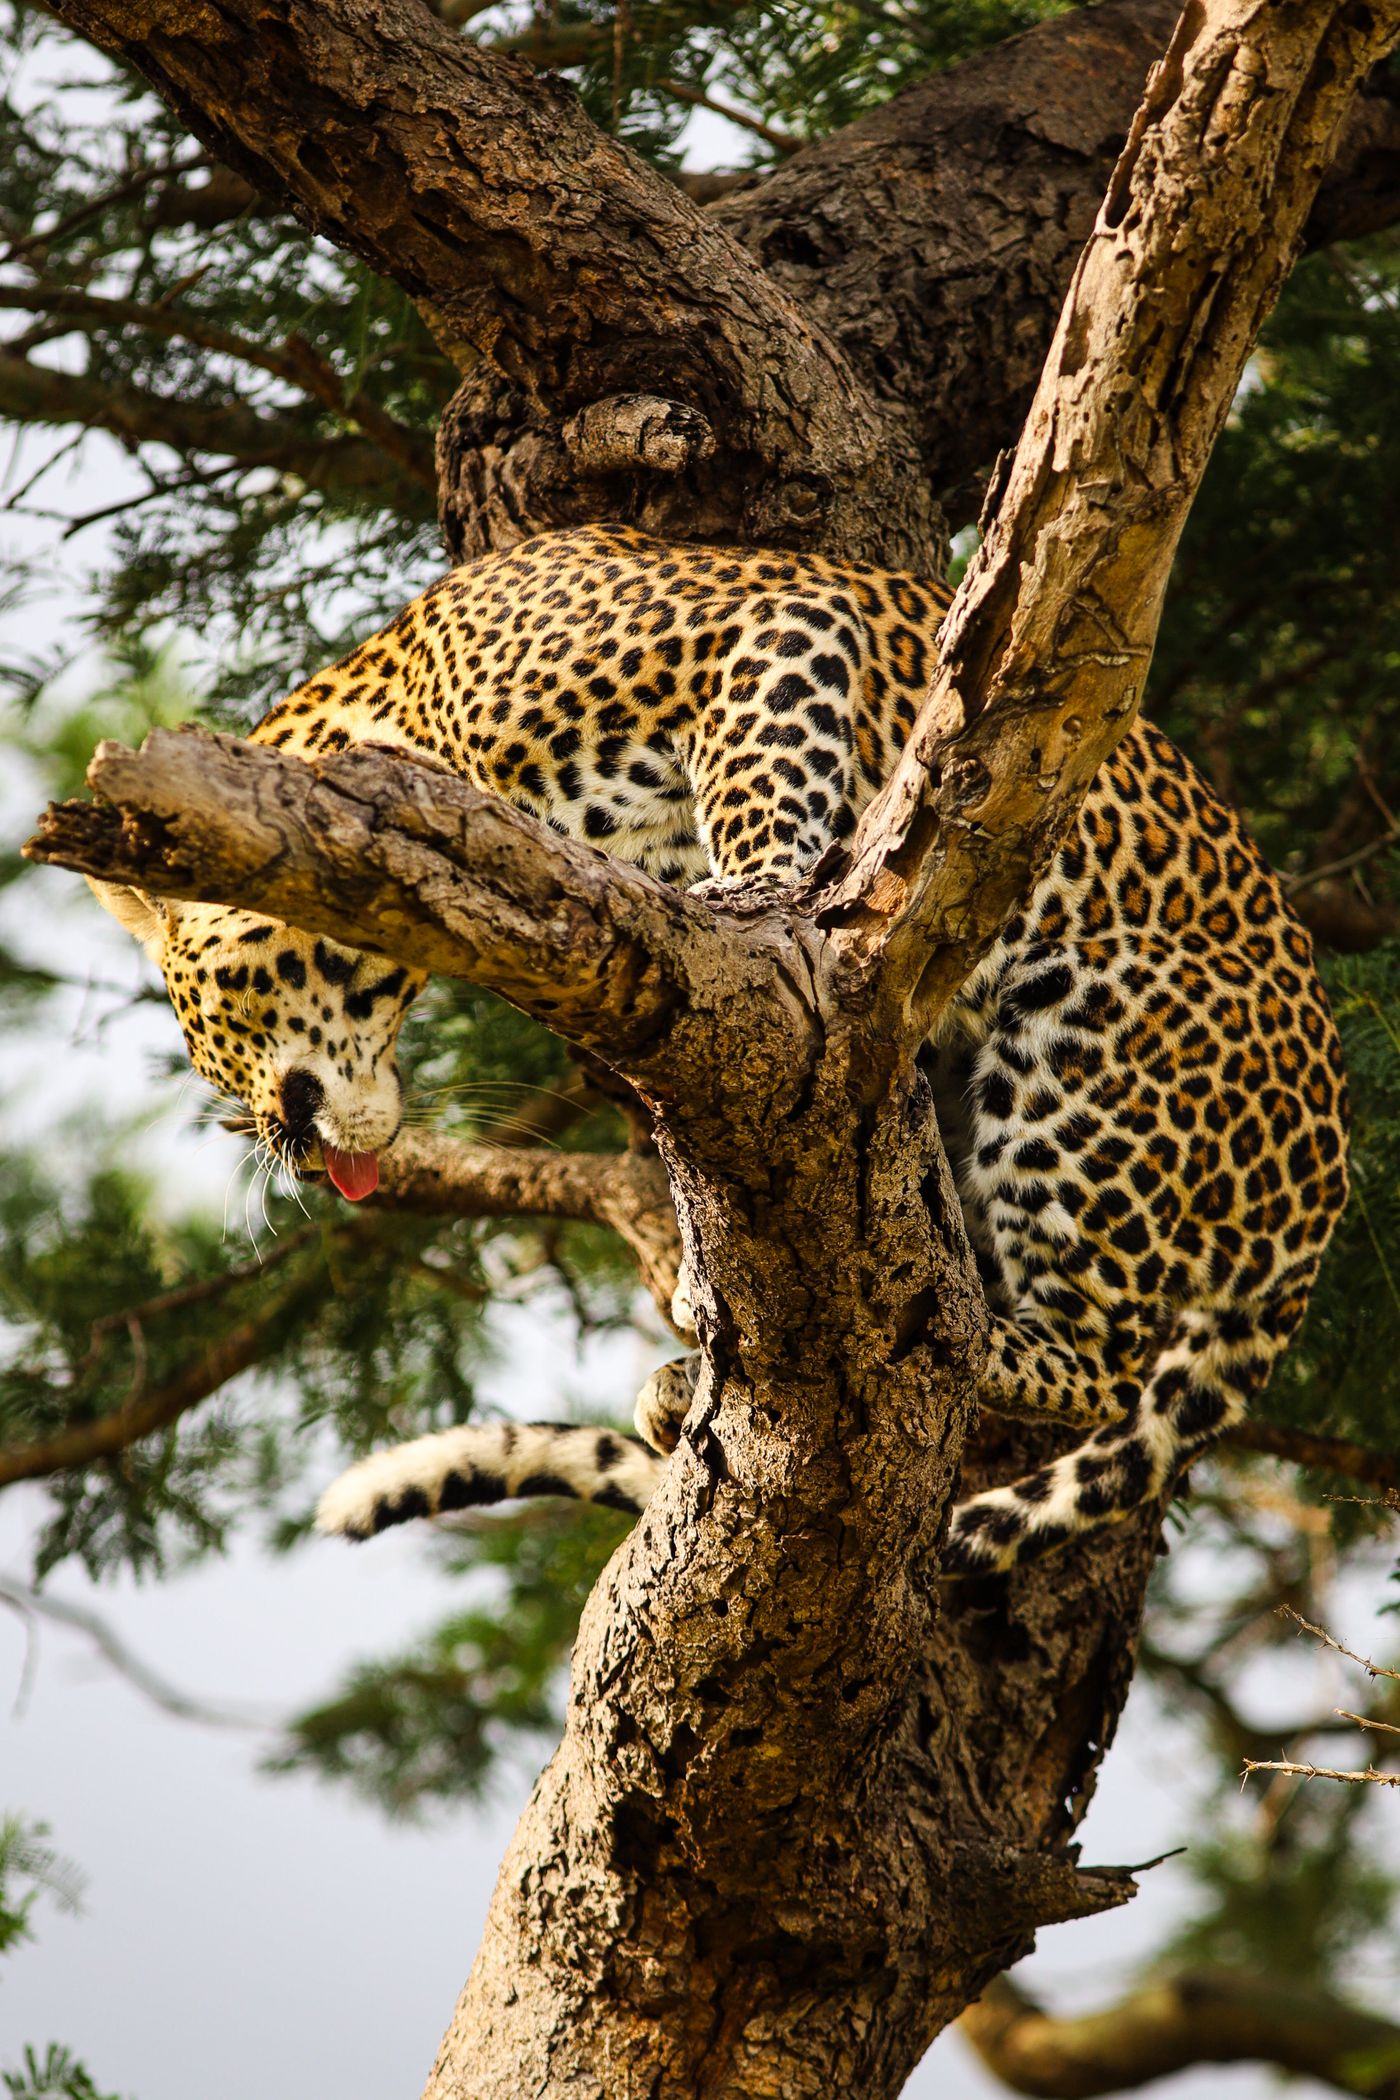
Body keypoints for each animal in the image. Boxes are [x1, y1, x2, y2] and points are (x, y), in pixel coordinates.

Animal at [90, 523, 1349, 1576]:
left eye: (216, 1033)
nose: (290, 1152)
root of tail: (1318, 1206)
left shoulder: (771, 627)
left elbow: (763, 782)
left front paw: (758, 895)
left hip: (1088, 1048)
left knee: (1097, 1361)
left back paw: (952, 1342)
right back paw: (692, 1375)